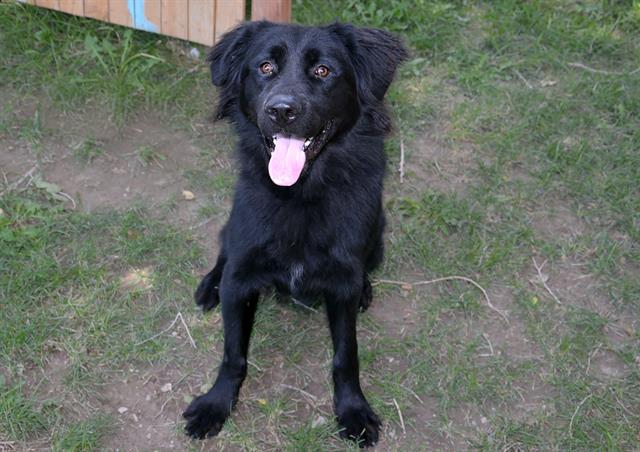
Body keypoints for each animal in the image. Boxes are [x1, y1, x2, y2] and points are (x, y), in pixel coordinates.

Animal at [182, 20, 408, 444]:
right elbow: (233, 353)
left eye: (323, 70)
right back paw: (209, 286)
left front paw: (353, 410)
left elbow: (345, 355)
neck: (301, 193)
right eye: (265, 67)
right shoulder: (242, 274)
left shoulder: (342, 282)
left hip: (379, 237)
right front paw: (215, 404)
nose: (281, 110)